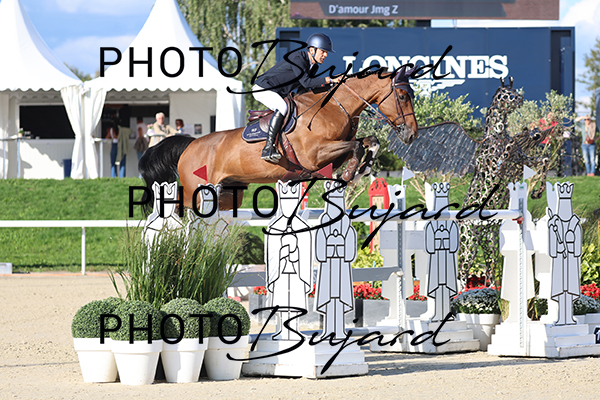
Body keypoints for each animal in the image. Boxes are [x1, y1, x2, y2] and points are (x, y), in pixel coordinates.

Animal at [139, 68, 418, 211]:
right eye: (402, 96)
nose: (412, 134)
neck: (334, 107)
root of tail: (191, 144)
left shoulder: (329, 155)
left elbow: (369, 142)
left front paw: (361, 171)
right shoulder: (315, 154)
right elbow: (357, 146)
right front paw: (350, 174)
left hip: (229, 195)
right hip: (193, 192)